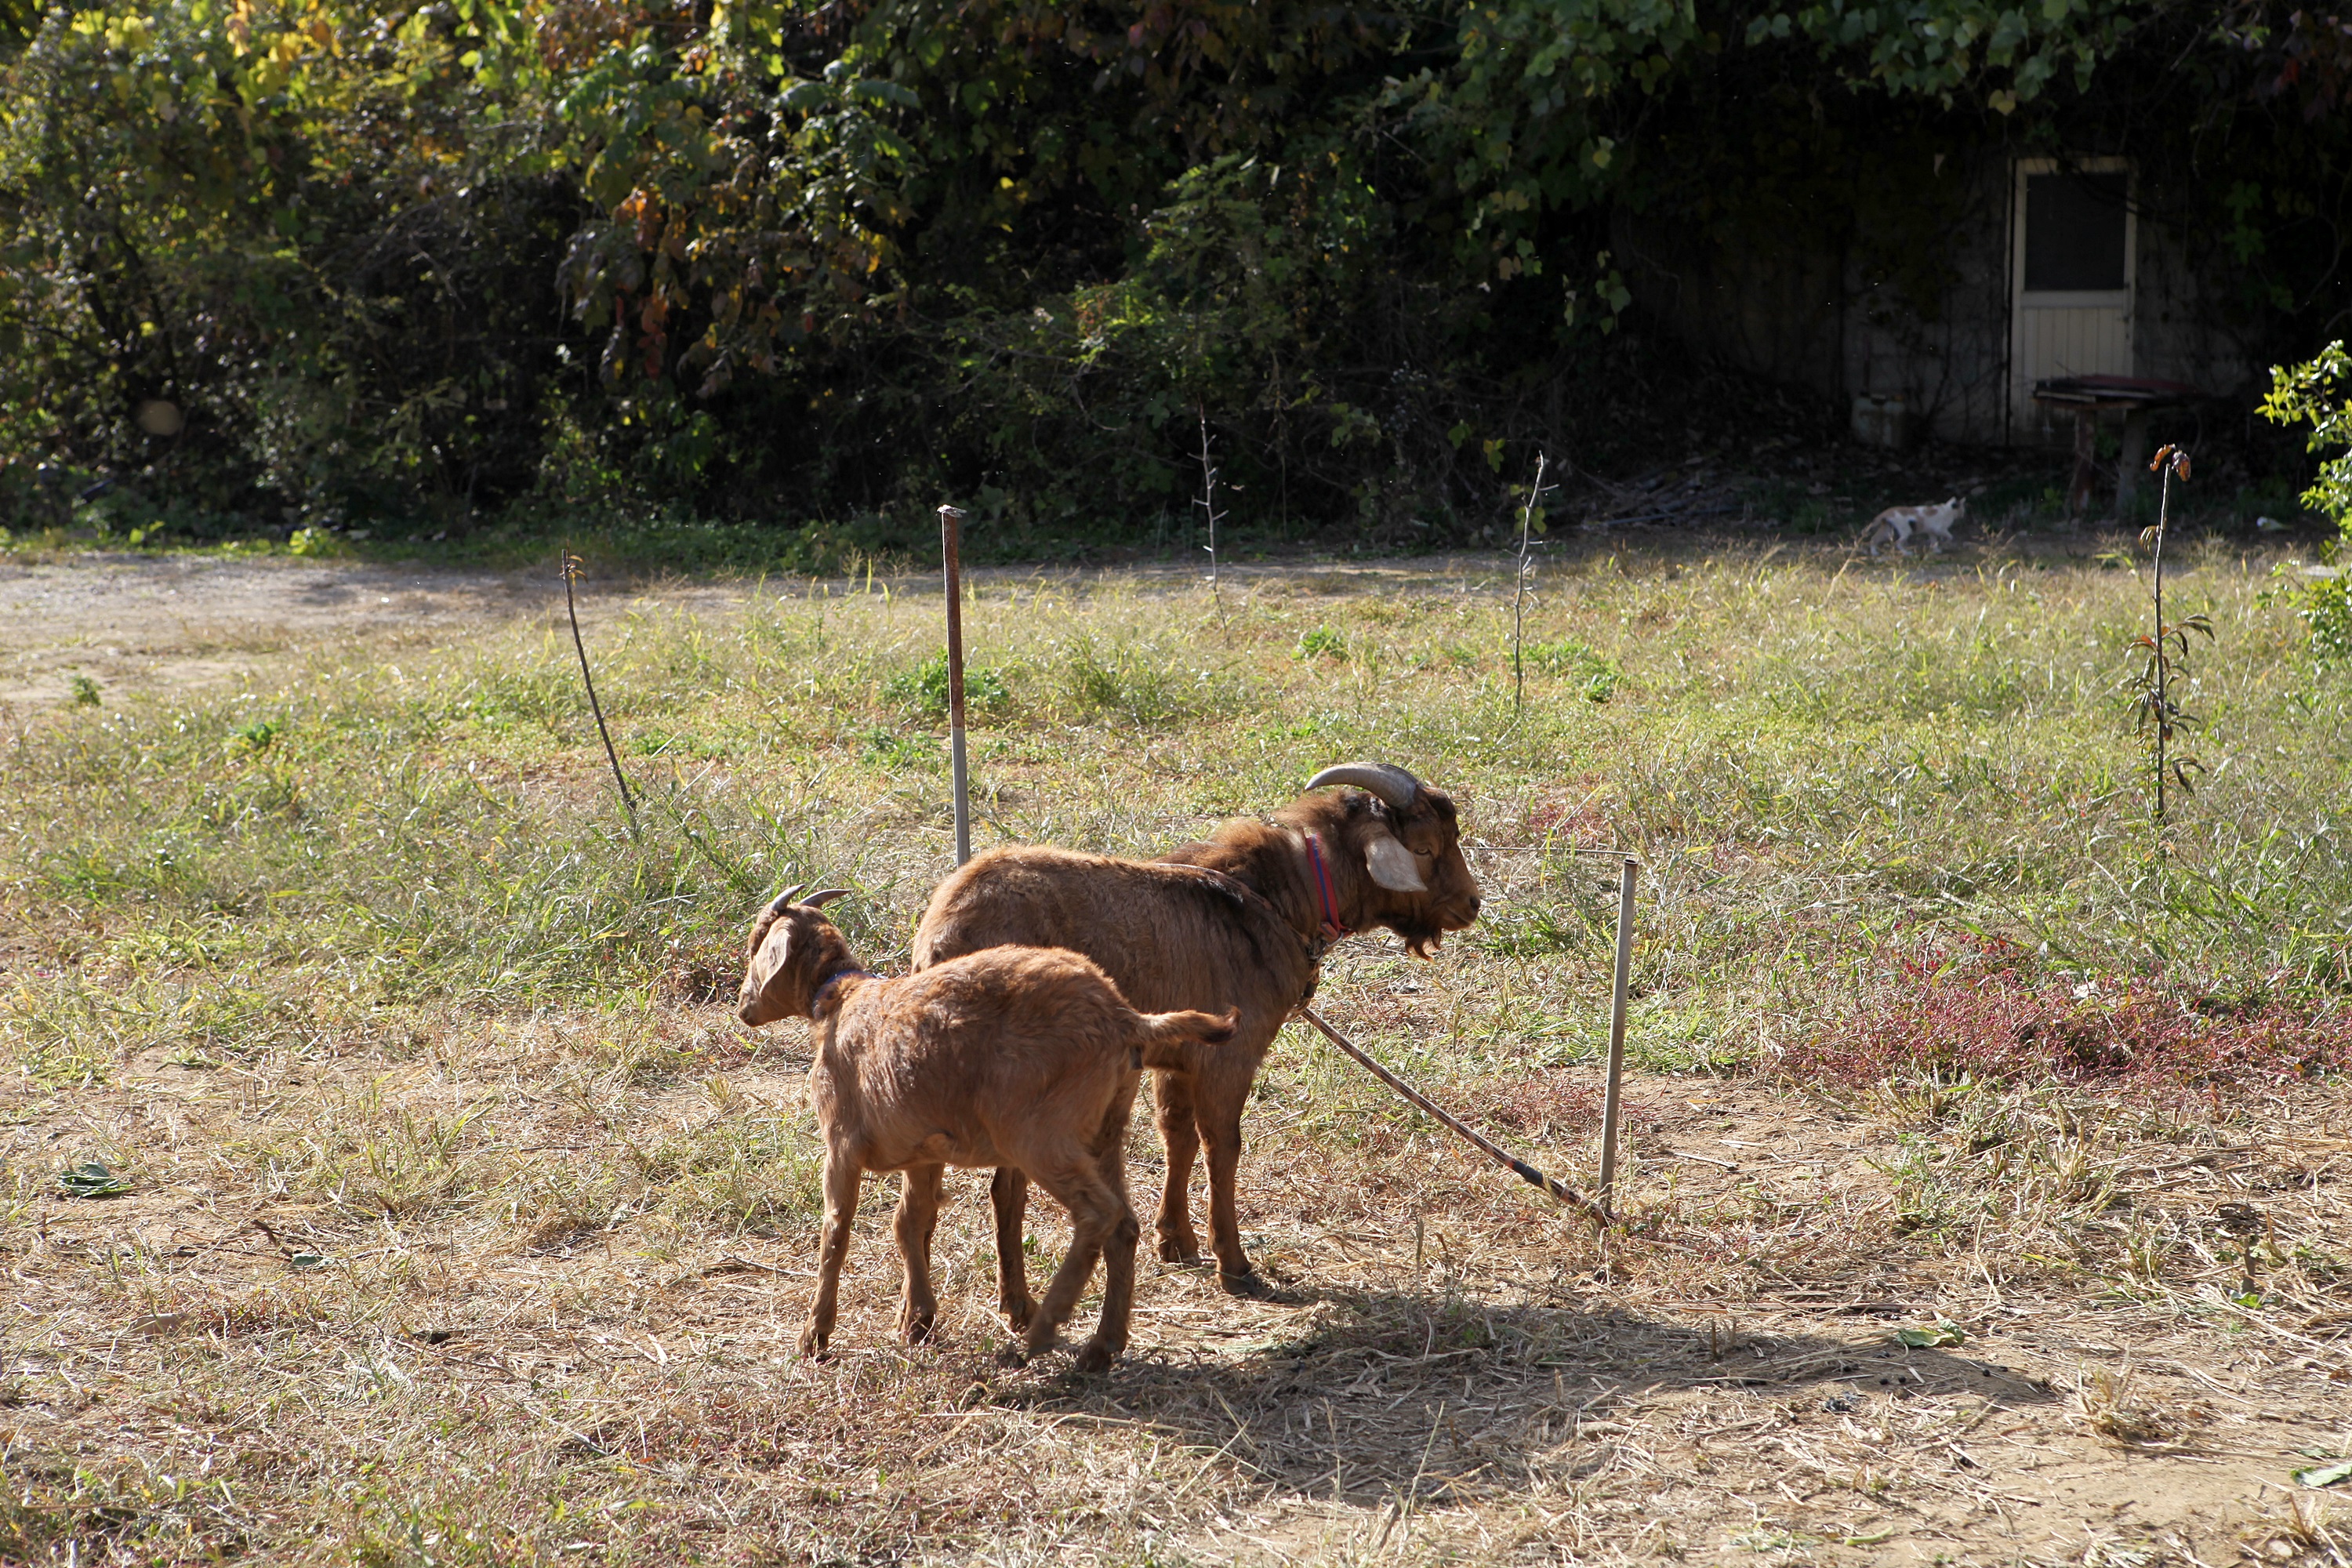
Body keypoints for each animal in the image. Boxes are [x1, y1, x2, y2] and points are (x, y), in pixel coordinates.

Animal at [739, 888, 1242, 1382]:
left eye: (756, 943)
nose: (744, 1007)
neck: (839, 999)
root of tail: (1125, 1018)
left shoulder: (841, 1145)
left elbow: (836, 1230)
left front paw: (815, 1338)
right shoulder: (924, 1149)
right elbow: (910, 1222)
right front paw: (920, 1321)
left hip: (1041, 1136)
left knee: (1099, 1213)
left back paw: (1041, 1332)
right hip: (1106, 1130)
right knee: (1124, 1225)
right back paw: (1101, 1348)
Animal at [908, 761, 1477, 1298]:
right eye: (1424, 848)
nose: (1470, 905)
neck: (1273, 899)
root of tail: (943, 934)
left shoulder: (1178, 1058)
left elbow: (1177, 1135)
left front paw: (1176, 1242)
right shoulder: (1230, 1058)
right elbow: (1222, 1146)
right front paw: (1235, 1264)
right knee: (1004, 1188)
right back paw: (1014, 1308)